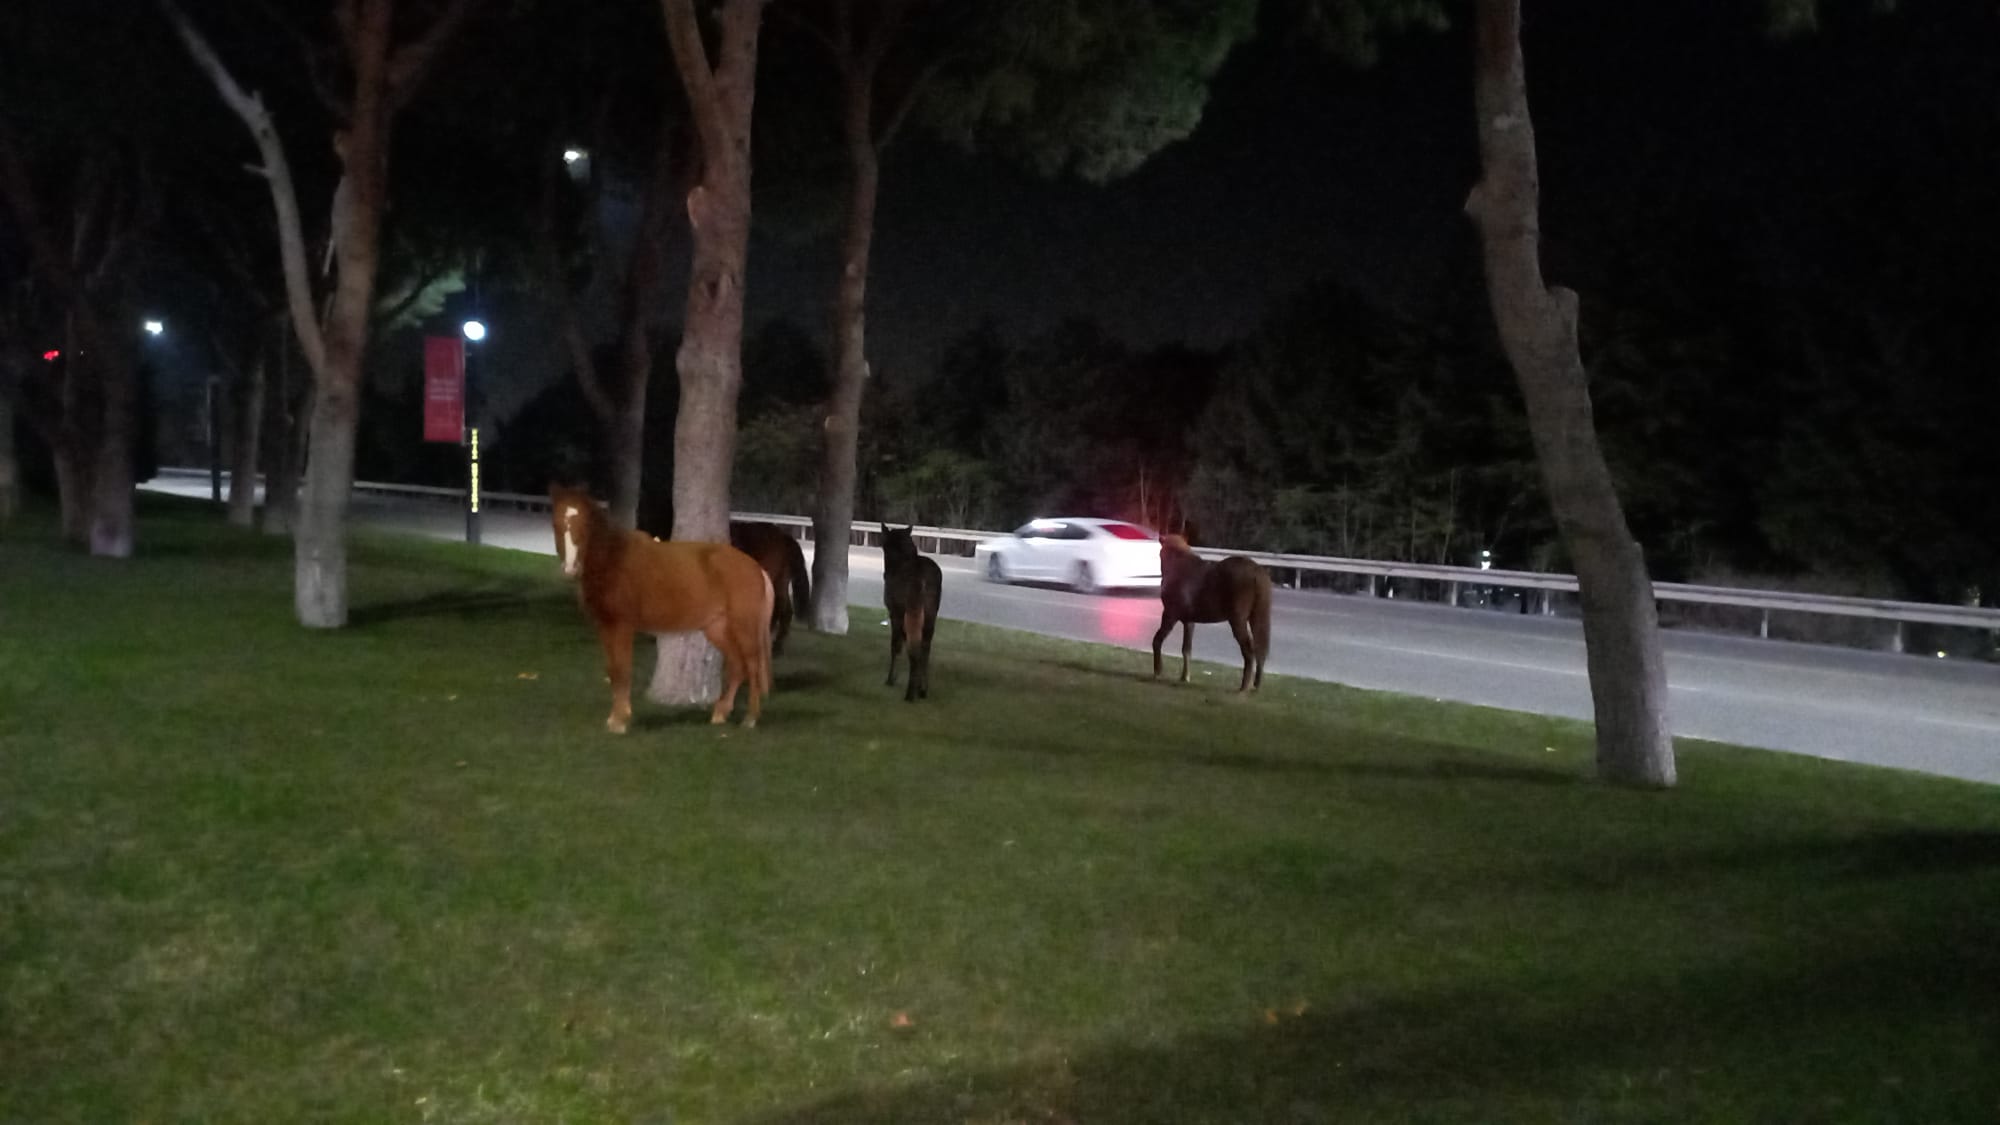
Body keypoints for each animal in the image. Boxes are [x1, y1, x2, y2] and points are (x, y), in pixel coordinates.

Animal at [552, 484, 776, 732]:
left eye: (585, 526)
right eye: (556, 524)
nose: (570, 568)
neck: (614, 561)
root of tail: (756, 568)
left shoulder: (622, 626)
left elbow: (622, 669)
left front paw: (620, 721)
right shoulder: (605, 626)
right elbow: (613, 670)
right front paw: (614, 718)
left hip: (743, 628)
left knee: (752, 665)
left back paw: (750, 718)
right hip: (716, 628)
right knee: (738, 666)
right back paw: (720, 713)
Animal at [880, 520, 940, 696]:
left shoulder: (894, 610)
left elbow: (896, 644)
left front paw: (891, 678)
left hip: (909, 608)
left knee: (913, 645)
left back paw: (910, 691)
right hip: (931, 611)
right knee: (925, 646)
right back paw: (922, 688)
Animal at [1152, 528, 1272, 688]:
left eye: (1161, 553)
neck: (1179, 567)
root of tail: (1256, 572)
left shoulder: (1170, 615)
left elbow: (1157, 640)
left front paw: (1158, 671)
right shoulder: (1189, 621)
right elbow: (1186, 650)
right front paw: (1185, 677)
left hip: (1238, 620)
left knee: (1249, 650)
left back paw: (1244, 686)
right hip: (1256, 617)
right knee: (1260, 648)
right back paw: (1256, 684)